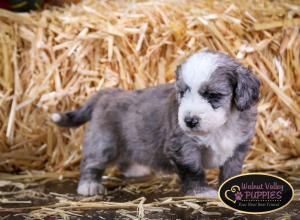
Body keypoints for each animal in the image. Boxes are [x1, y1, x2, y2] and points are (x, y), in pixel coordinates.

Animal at [51, 50, 260, 198]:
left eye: (213, 95)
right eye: (182, 93)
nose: (189, 121)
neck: (220, 127)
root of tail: (107, 94)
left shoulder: (238, 146)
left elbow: (232, 170)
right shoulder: (183, 147)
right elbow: (193, 170)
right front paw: (200, 191)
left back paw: (135, 170)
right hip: (103, 141)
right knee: (92, 162)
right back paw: (89, 185)